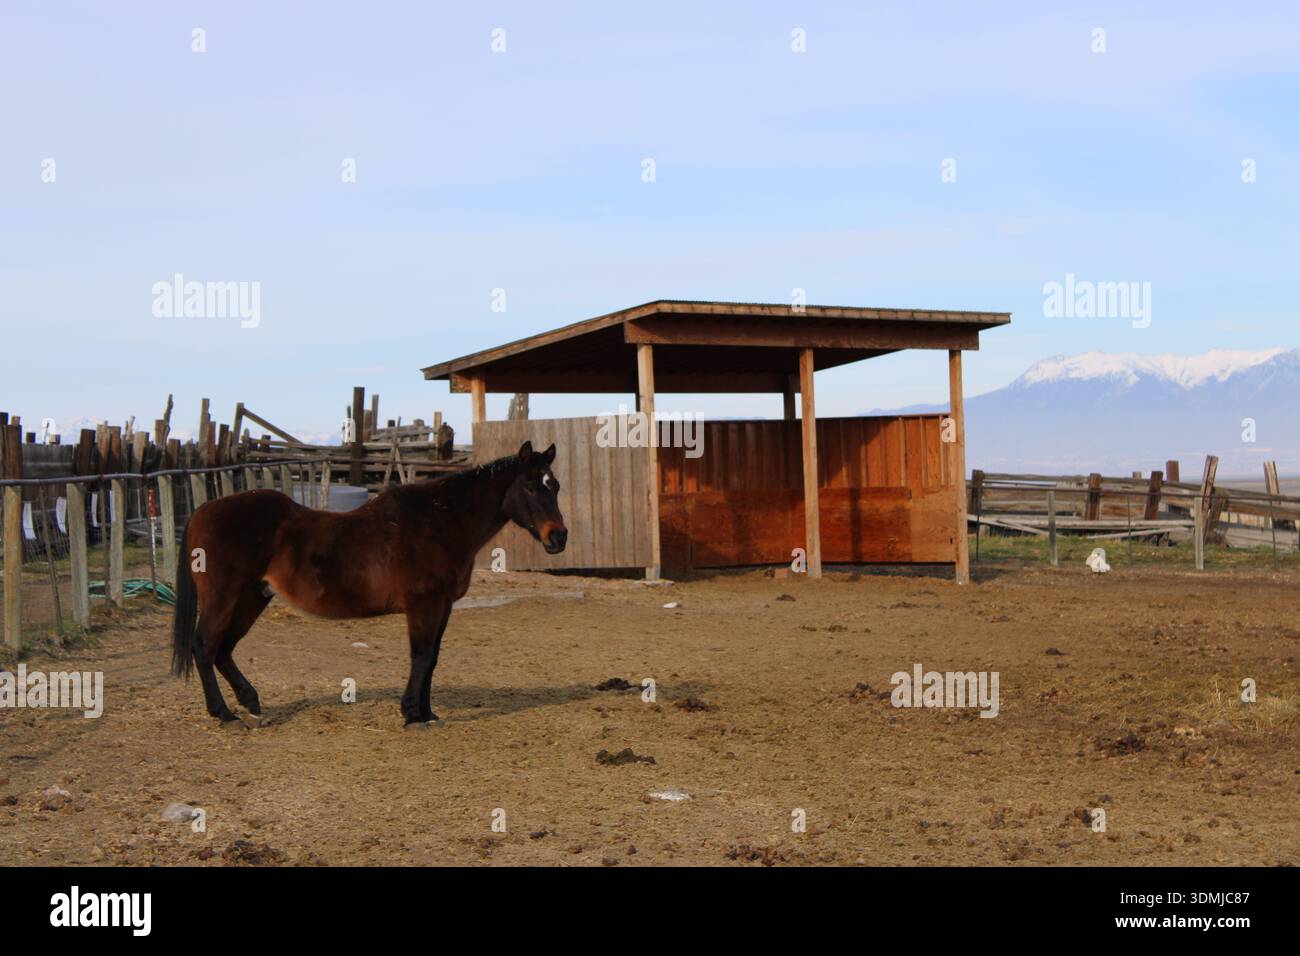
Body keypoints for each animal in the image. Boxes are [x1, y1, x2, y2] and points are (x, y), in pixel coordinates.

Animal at [171, 441, 567, 728]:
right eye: (530, 486)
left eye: (556, 486)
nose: (558, 537)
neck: (439, 523)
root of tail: (202, 511)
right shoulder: (423, 605)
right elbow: (422, 656)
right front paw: (412, 715)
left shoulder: (443, 606)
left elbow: (433, 658)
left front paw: (427, 713)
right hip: (224, 597)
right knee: (204, 646)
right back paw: (224, 714)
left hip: (252, 598)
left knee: (223, 649)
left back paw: (250, 703)